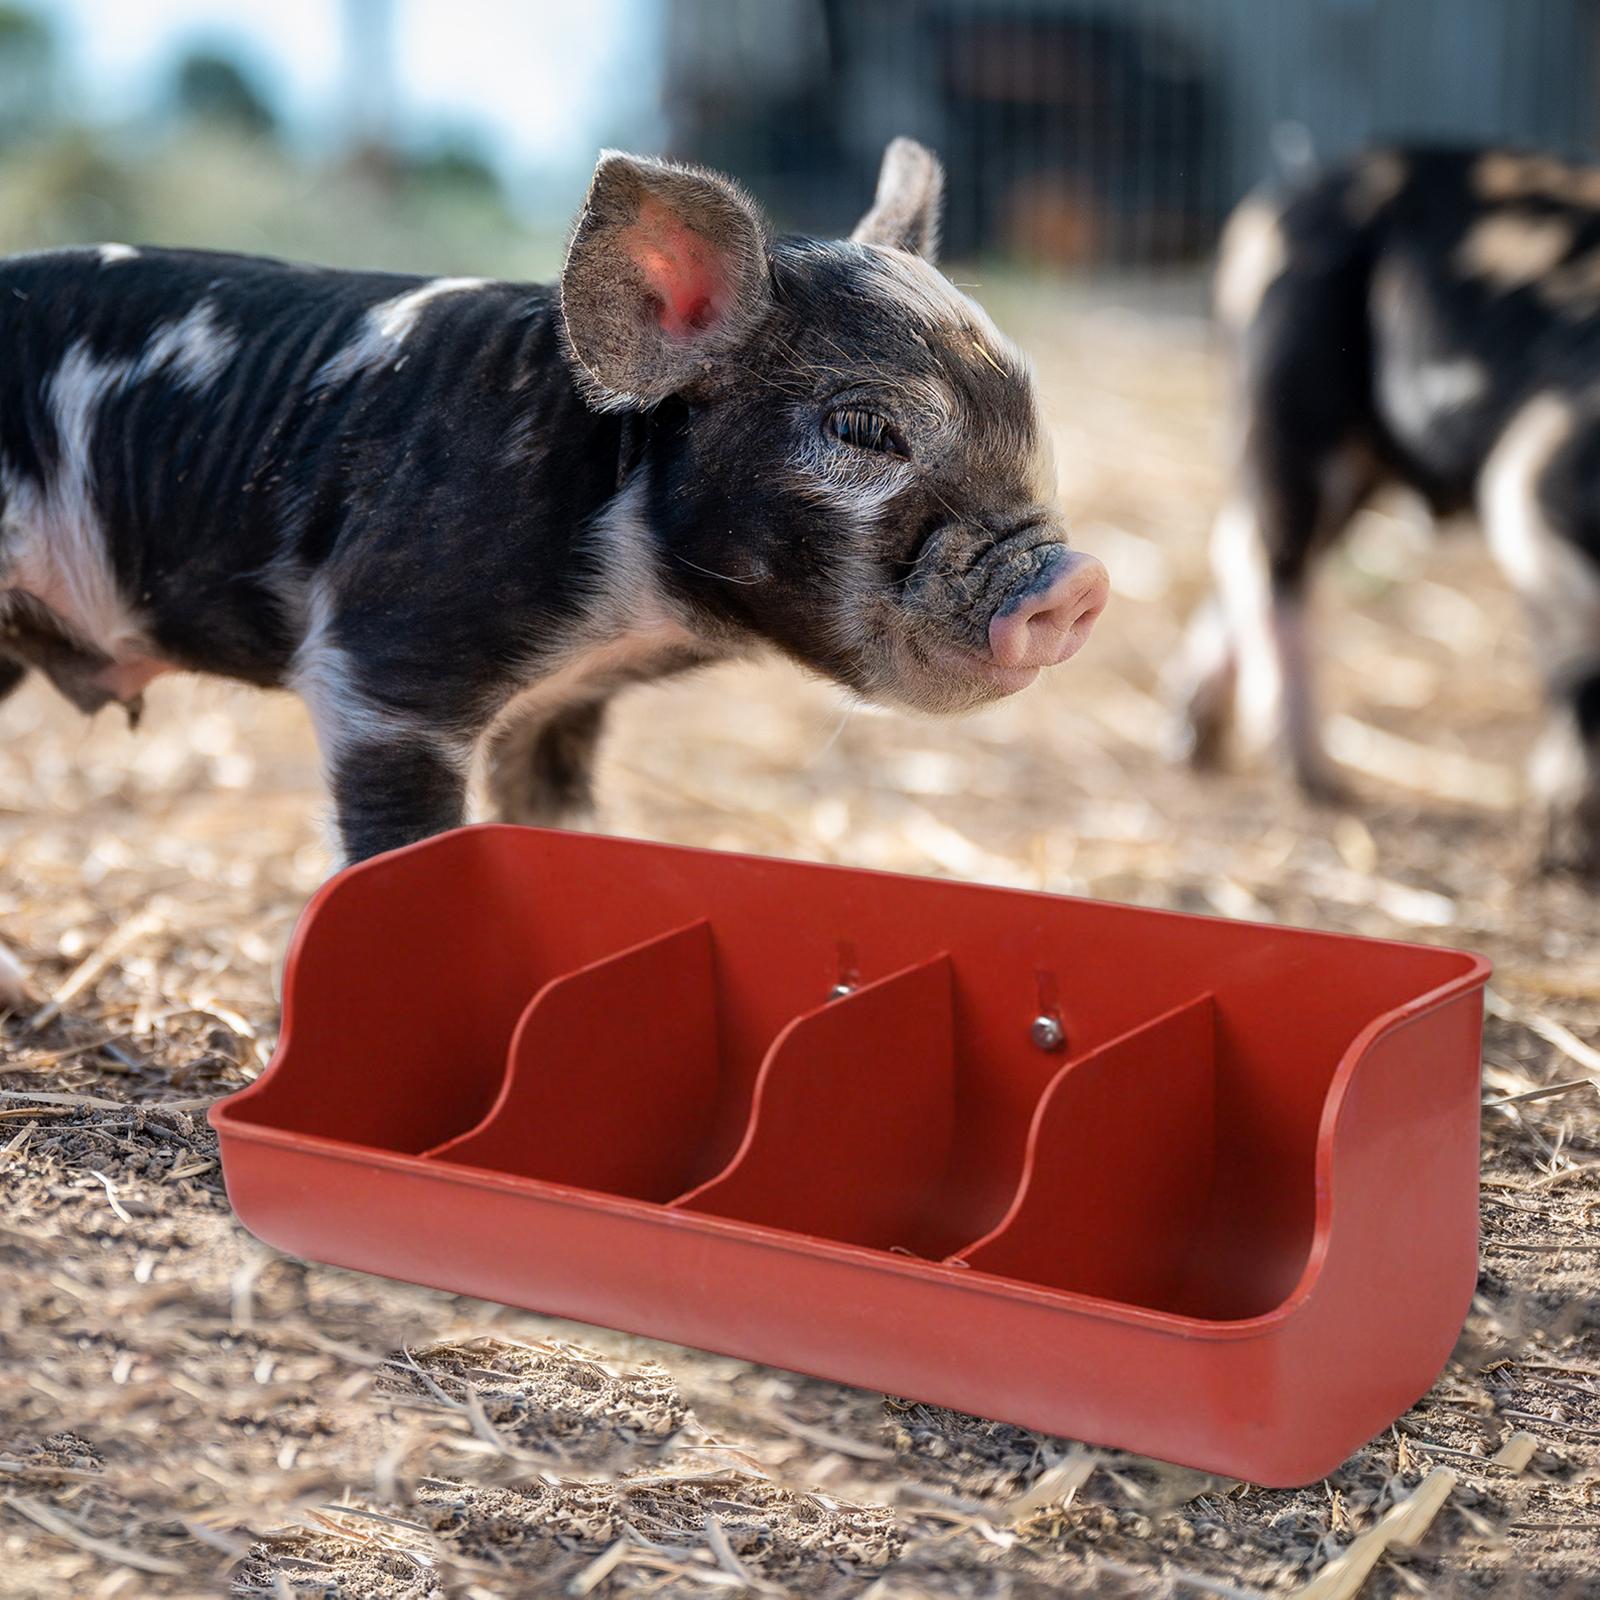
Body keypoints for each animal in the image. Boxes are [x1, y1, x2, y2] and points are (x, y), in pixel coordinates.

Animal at [0, 139, 1108, 1005]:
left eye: (1032, 418)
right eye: (866, 429)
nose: (1074, 581)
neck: (624, 608)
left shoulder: (562, 710)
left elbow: (562, 833)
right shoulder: (385, 661)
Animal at [1177, 144, 1600, 875]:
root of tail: (1276, 203)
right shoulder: (1538, 480)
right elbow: (1581, 675)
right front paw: (1567, 852)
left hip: (1354, 458)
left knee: (1238, 542)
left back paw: (1196, 743)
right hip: (1293, 406)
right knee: (1268, 560)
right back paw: (1314, 780)